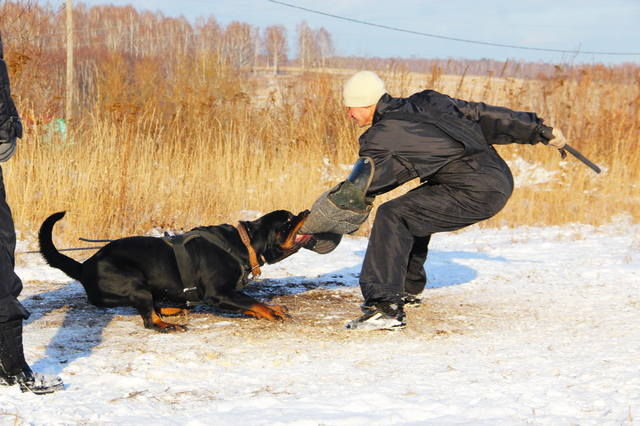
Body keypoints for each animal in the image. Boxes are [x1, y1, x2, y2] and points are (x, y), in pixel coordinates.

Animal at [38, 210, 312, 332]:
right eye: (288, 221)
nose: (306, 211)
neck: (243, 244)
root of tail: (84, 266)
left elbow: (251, 301)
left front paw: (272, 307)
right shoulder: (218, 293)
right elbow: (253, 301)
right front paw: (271, 311)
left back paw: (173, 308)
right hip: (134, 283)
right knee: (150, 320)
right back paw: (167, 324)